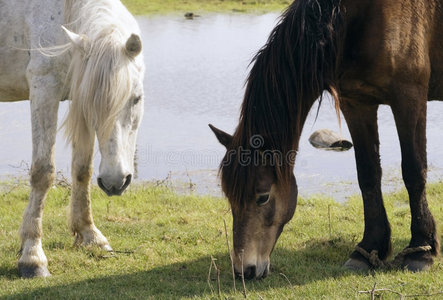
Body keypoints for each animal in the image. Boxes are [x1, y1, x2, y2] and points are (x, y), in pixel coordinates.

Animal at [0, 0, 146, 278]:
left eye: (136, 99)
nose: (115, 182)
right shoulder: (44, 89)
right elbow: (43, 172)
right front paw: (33, 257)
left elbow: (82, 170)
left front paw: (91, 235)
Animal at [211, 0, 440, 280]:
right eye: (229, 196)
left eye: (262, 197)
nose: (245, 270)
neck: (361, 16)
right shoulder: (356, 102)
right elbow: (368, 175)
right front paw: (367, 250)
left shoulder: (409, 97)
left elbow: (414, 172)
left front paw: (421, 250)